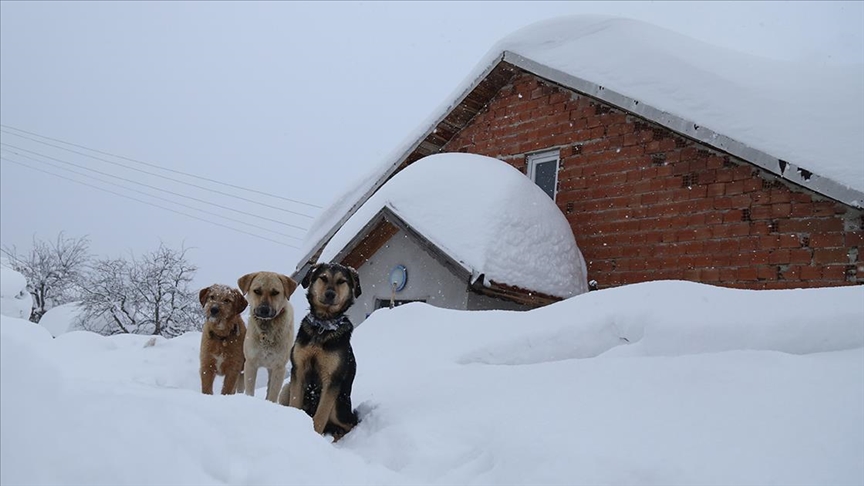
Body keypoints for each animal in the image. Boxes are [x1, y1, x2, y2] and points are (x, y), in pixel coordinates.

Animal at [238, 272, 298, 400]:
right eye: (257, 291)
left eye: (275, 292)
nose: (264, 310)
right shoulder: (250, 363)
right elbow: (249, 390)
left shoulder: (278, 367)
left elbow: (272, 394)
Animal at [280, 262, 362, 440]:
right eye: (323, 278)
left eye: (341, 281)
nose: (330, 294)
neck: (323, 326)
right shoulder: (299, 369)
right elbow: (295, 403)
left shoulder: (332, 379)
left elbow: (320, 417)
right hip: (286, 388)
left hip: (338, 405)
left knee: (350, 425)